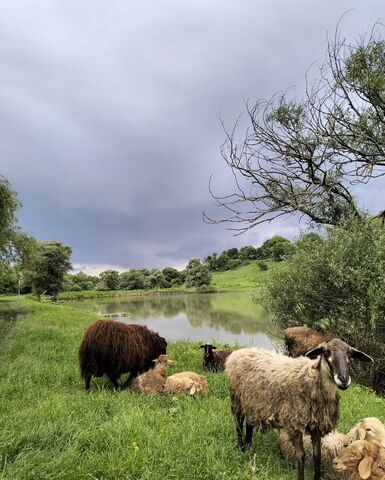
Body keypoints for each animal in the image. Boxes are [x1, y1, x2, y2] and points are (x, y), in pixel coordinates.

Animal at [225, 338, 372, 480]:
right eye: (326, 352)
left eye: (350, 354)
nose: (344, 379)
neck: (312, 379)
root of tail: (239, 352)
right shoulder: (294, 424)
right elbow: (301, 456)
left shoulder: (317, 426)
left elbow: (317, 456)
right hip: (236, 397)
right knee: (238, 423)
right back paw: (241, 448)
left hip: (252, 402)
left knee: (249, 423)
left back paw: (248, 446)